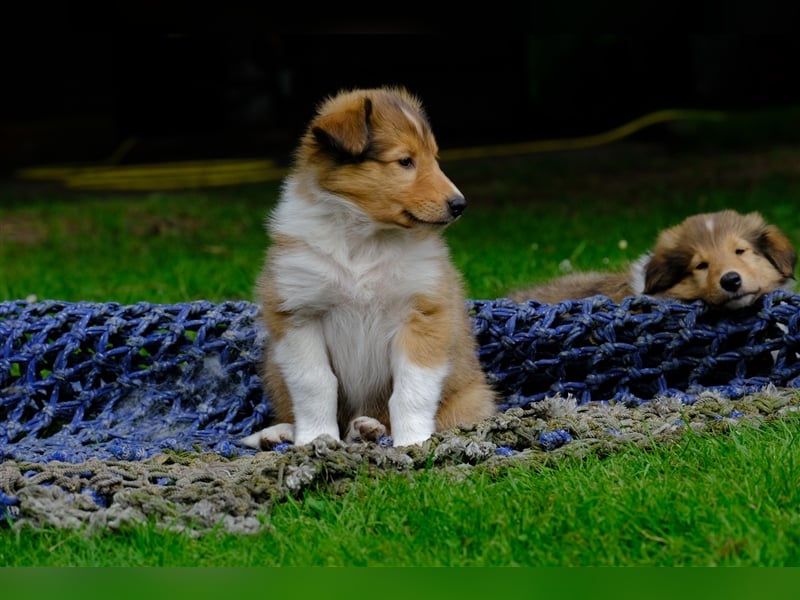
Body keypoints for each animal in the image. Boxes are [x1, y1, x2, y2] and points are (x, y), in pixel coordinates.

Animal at [241, 86, 496, 448]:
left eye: (434, 158)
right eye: (405, 161)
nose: (460, 204)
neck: (364, 238)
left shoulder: (423, 315)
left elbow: (411, 388)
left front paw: (413, 443)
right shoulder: (299, 314)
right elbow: (315, 382)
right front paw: (317, 438)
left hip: (471, 396)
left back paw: (368, 429)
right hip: (276, 367)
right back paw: (282, 433)